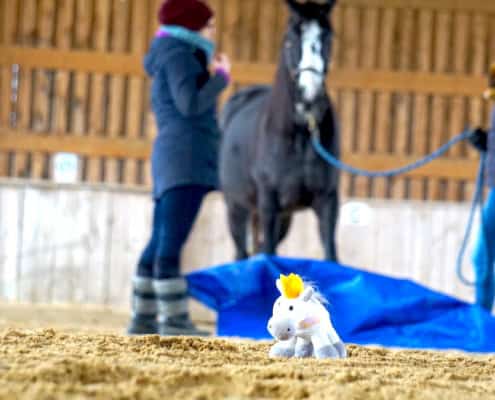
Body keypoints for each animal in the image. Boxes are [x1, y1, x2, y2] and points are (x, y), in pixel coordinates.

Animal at [221, 0, 340, 260]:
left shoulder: (327, 202)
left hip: (283, 217)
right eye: (289, 39)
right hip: (237, 208)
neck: (299, 136)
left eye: (328, 38)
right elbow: (269, 254)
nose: (310, 98)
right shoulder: (269, 204)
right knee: (242, 253)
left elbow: (331, 255)